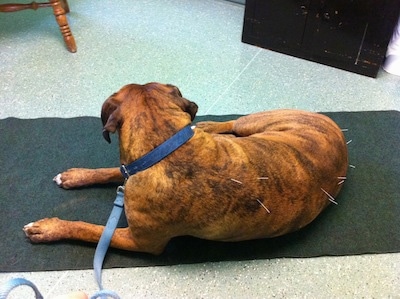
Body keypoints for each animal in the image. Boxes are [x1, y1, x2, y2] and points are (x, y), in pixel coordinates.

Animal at [23, 82, 348, 255]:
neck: (166, 144)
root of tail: (333, 124)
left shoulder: (140, 241)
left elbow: (89, 229)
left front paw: (50, 227)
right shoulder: (132, 167)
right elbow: (114, 170)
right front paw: (76, 176)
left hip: (256, 122)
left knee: (235, 123)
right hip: (253, 125)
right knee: (229, 125)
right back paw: (205, 125)